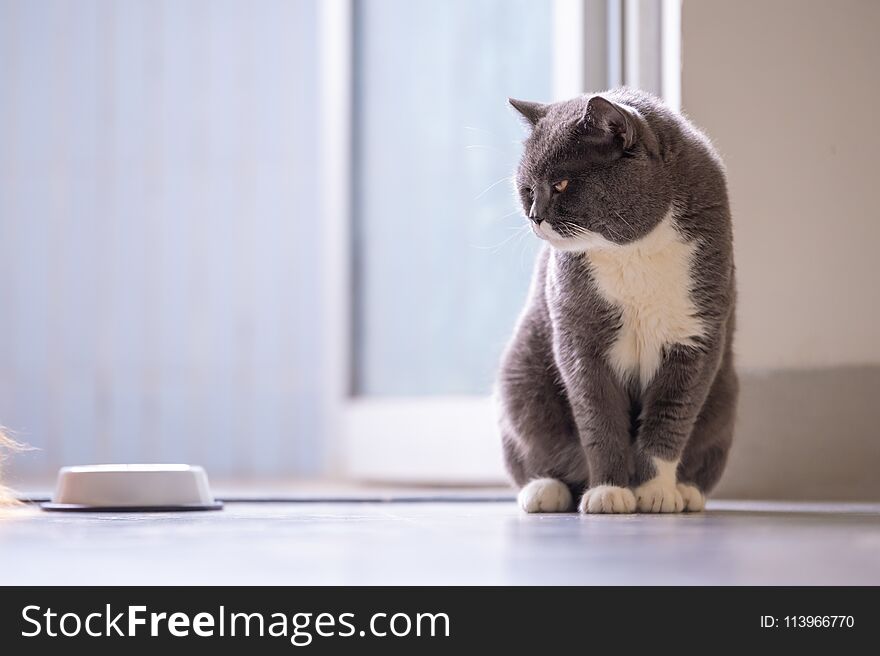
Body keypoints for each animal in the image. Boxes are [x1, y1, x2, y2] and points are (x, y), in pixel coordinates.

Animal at [498, 89, 740, 516]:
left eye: (561, 184)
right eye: (526, 189)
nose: (534, 216)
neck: (631, 253)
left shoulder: (696, 336)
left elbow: (670, 417)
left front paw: (656, 491)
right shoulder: (579, 338)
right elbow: (599, 418)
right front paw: (608, 491)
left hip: (724, 398)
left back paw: (688, 491)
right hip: (521, 379)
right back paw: (544, 489)